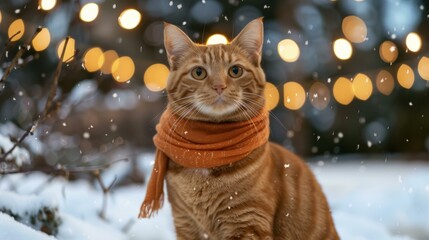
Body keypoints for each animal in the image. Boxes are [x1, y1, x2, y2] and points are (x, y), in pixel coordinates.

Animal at [142, 17, 340, 240]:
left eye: (235, 71)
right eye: (199, 73)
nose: (219, 86)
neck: (207, 153)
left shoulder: (248, 222)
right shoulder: (185, 223)